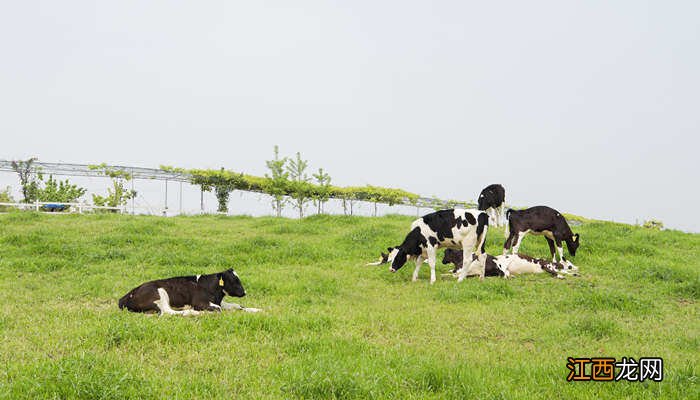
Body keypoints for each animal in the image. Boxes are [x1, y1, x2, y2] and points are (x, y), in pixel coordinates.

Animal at [119, 268, 262, 316]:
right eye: (234, 280)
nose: (244, 292)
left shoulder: (219, 302)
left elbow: (238, 306)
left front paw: (257, 310)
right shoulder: (200, 303)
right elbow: (218, 309)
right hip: (159, 294)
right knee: (168, 312)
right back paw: (194, 313)